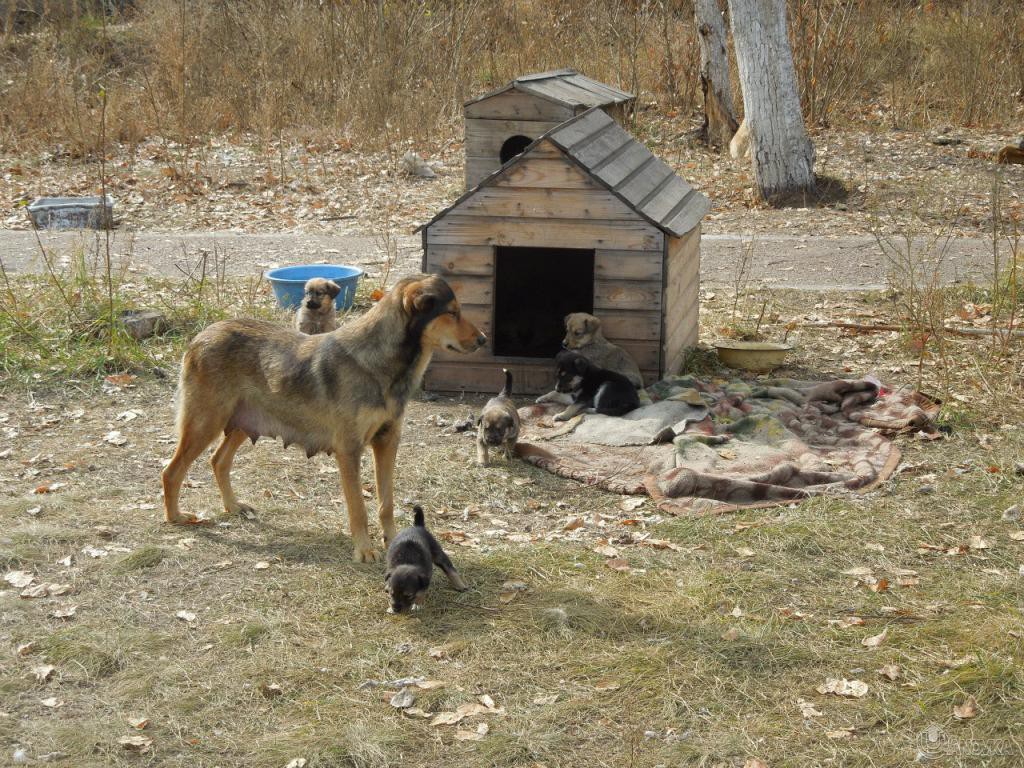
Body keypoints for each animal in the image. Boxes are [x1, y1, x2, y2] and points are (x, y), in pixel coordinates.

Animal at [160, 274, 487, 561]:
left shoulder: (387, 442)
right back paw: (175, 517)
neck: (379, 363)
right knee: (171, 472)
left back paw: (232, 507)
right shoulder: (349, 451)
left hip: (241, 423)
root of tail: (200, 336)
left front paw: (394, 540)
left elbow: (386, 502)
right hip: (204, 425)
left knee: (218, 461)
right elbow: (358, 507)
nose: (484, 339)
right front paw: (364, 551)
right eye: (452, 312)